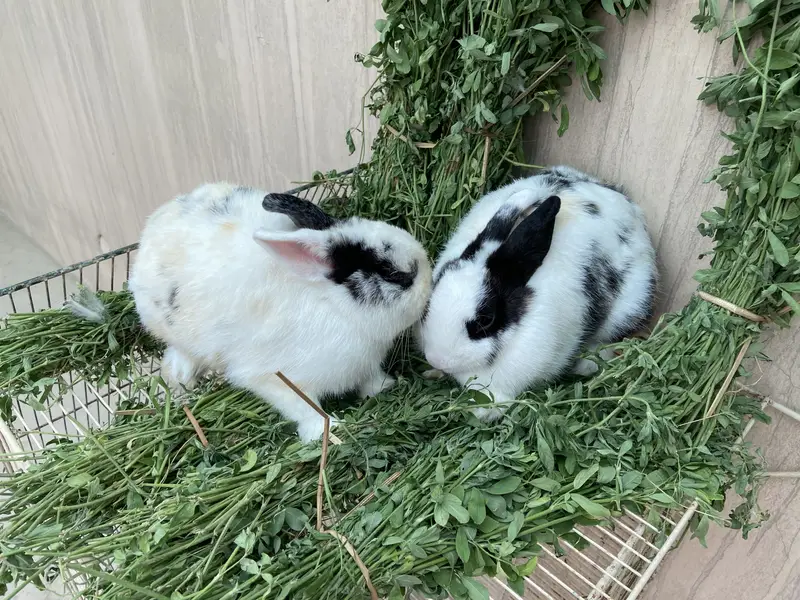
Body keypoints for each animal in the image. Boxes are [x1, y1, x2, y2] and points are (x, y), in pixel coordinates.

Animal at [129, 183, 432, 442]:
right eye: (394, 273)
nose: (429, 280)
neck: (335, 306)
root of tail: (153, 226)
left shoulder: (365, 364)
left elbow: (370, 379)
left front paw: (385, 387)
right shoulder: (275, 379)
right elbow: (306, 408)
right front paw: (328, 431)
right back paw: (181, 379)